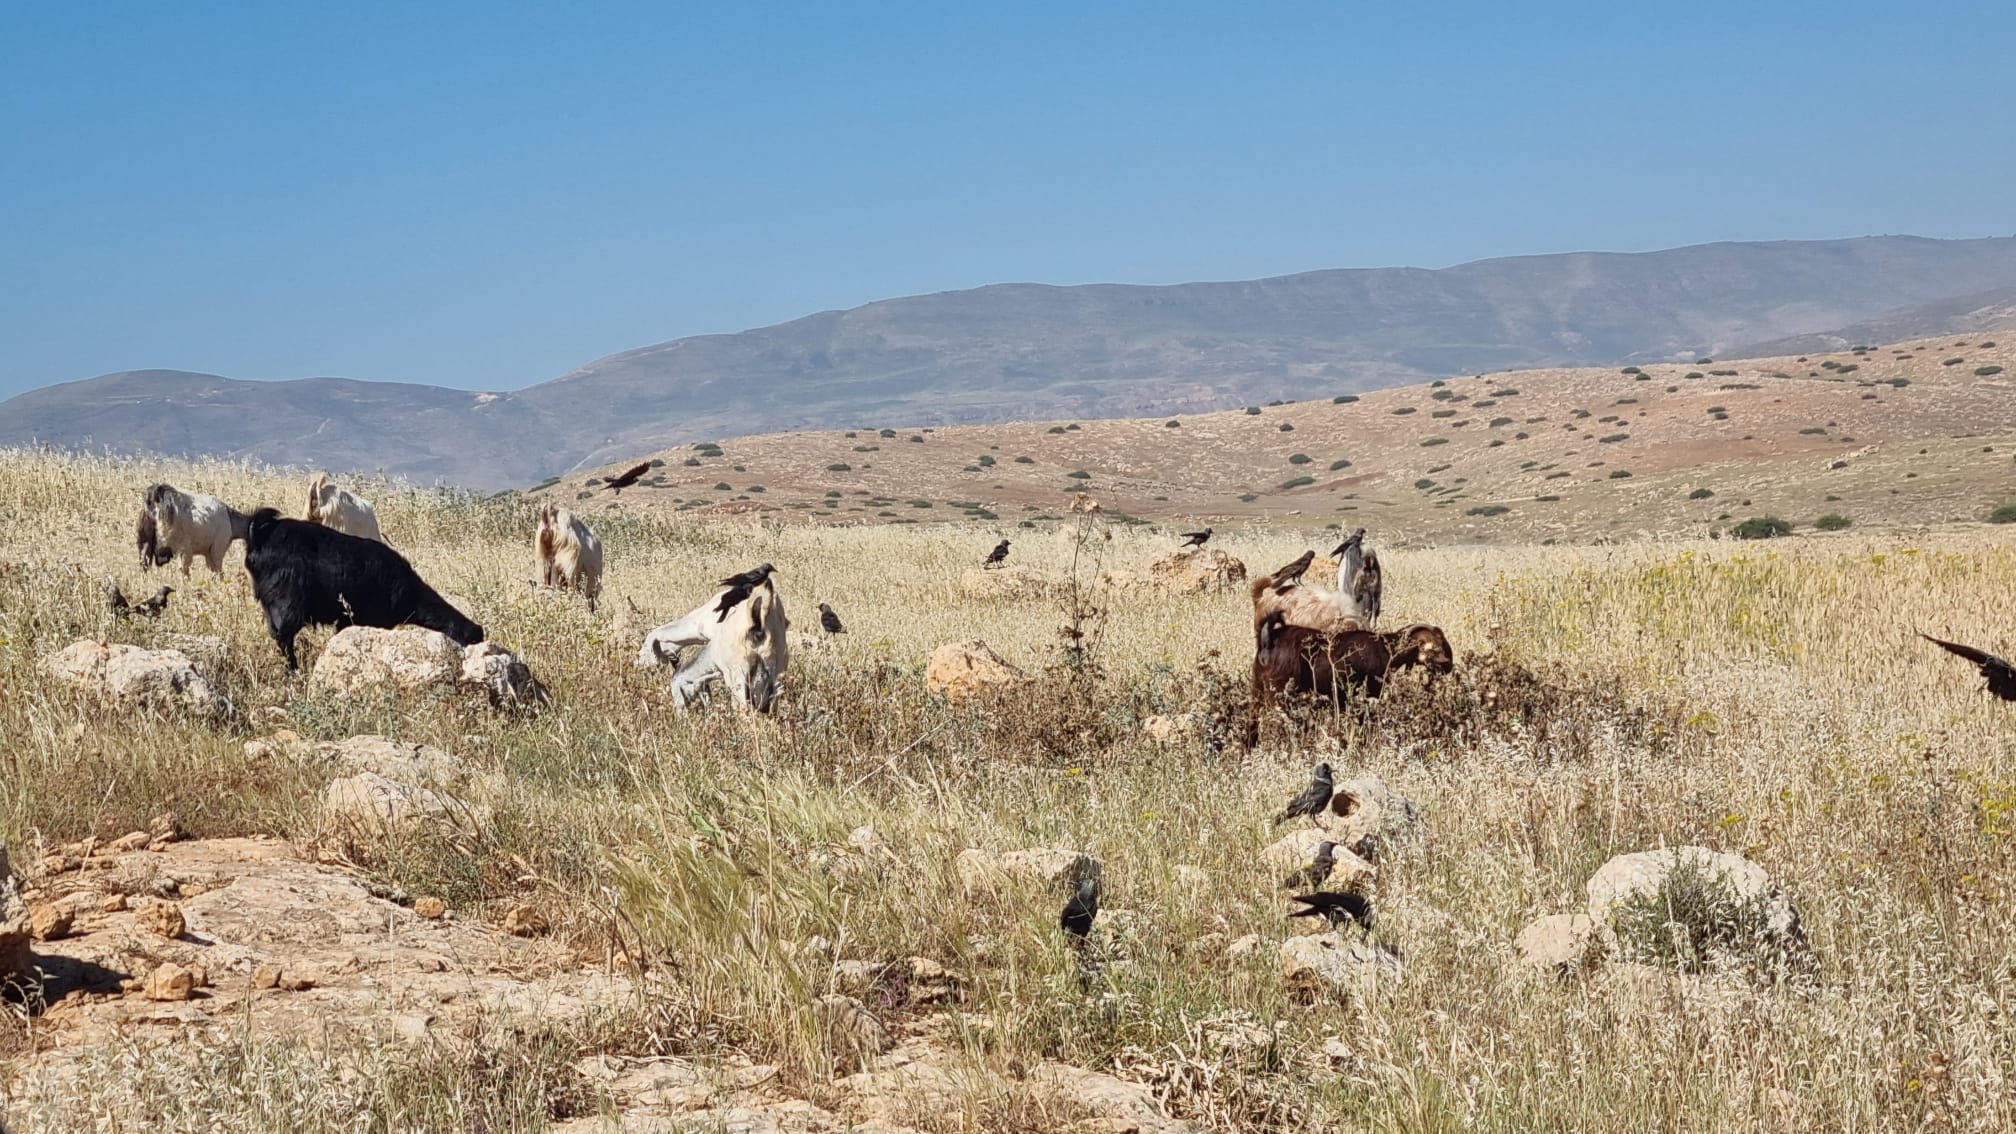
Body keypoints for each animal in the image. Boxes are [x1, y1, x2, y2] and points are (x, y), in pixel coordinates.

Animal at [242, 508, 482, 670]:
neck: (410, 593)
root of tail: (260, 538)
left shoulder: (346, 619)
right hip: (287, 599)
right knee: (284, 636)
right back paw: (293, 669)